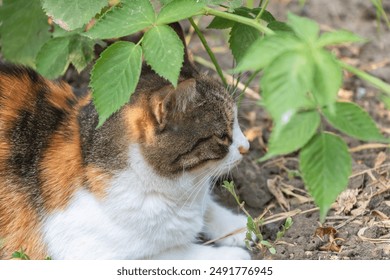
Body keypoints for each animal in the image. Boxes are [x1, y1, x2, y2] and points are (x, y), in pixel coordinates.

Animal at [0, 24, 250, 260]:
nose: (247, 147)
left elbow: (209, 207)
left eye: (237, 121)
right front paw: (231, 255)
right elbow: (177, 252)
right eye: (222, 135)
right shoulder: (85, 251)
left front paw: (240, 226)